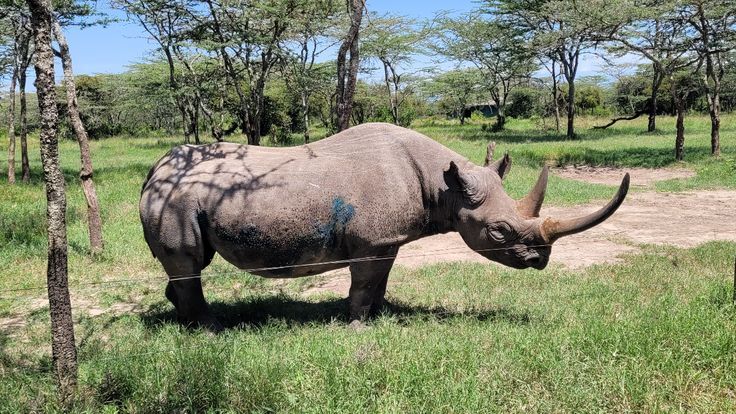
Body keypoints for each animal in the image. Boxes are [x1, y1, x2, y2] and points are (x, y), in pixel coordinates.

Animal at [140, 123, 629, 330]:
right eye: (499, 233)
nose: (540, 260)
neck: (443, 186)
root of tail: (154, 169)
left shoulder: (386, 240)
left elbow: (380, 281)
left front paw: (378, 317)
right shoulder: (371, 241)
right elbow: (362, 284)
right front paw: (356, 327)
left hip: (181, 194)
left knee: (187, 265)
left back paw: (184, 321)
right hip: (176, 196)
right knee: (188, 262)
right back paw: (209, 331)